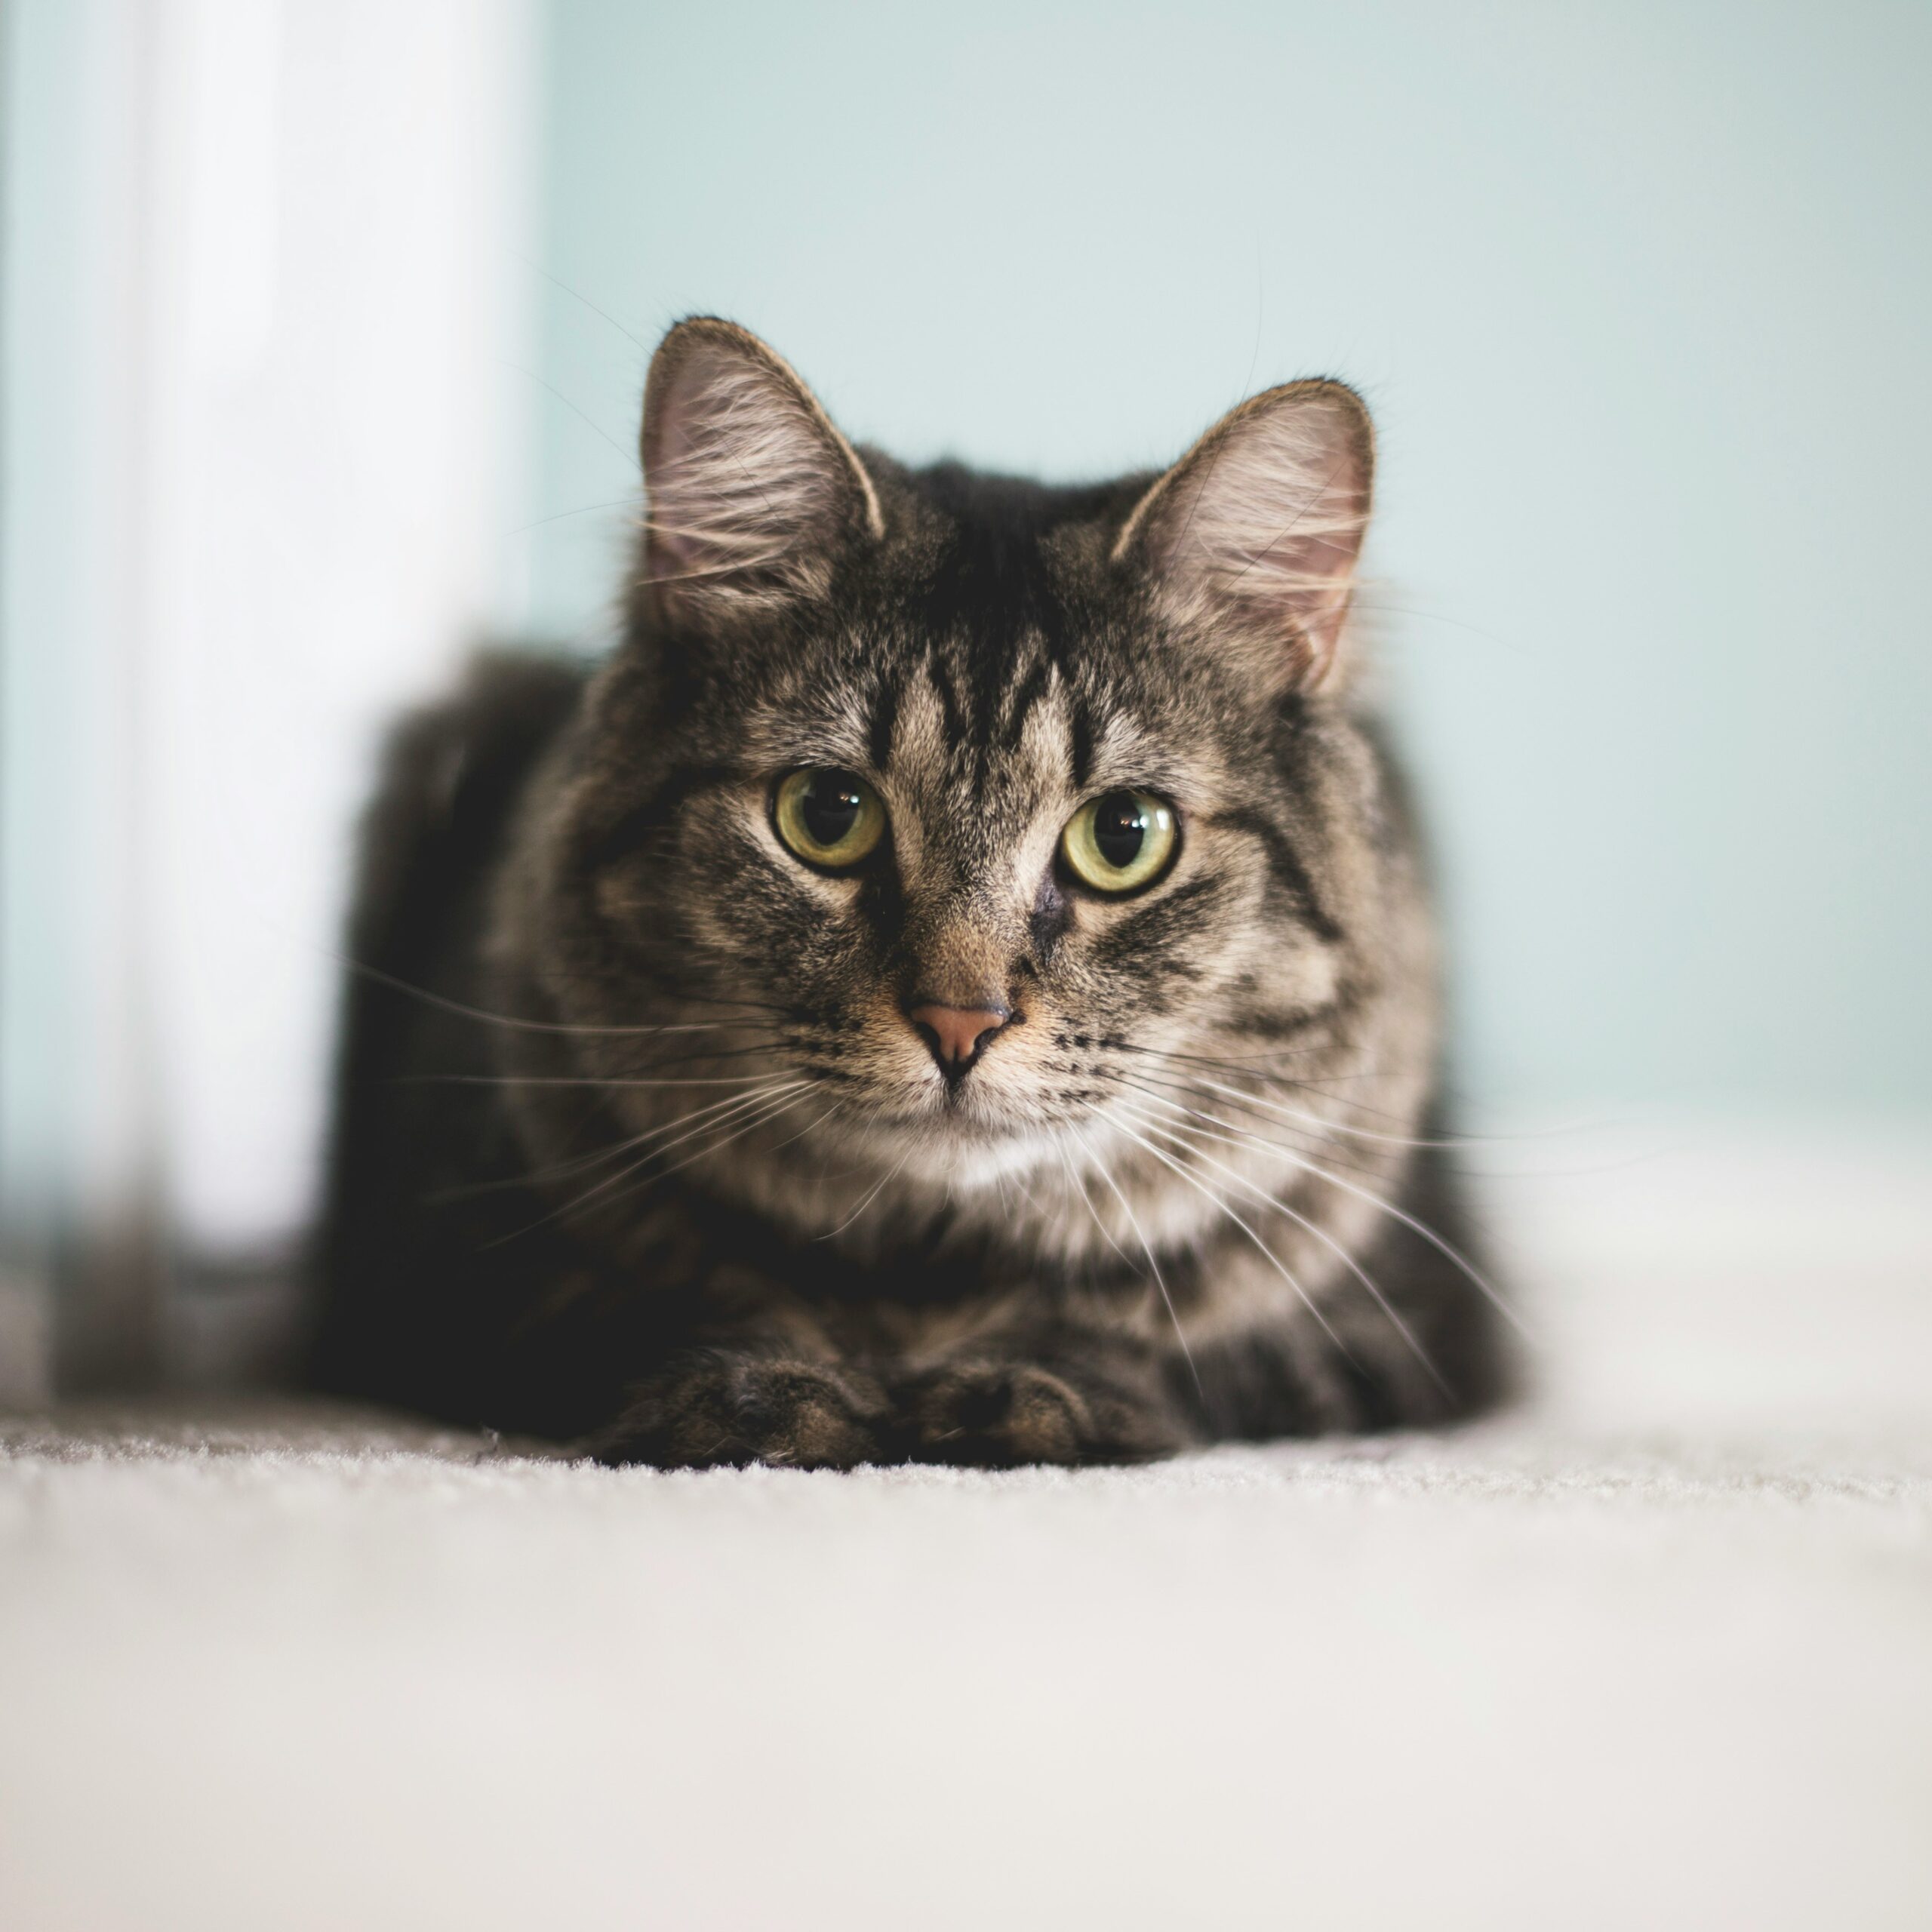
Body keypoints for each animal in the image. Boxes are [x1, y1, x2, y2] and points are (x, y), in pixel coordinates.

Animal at [309, 316, 1506, 1460]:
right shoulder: (440, 1263)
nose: (958, 1021)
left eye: (1124, 836)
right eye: (827, 814)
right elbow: (676, 1306)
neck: (925, 1287)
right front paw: (763, 1400)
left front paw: (1015, 1393)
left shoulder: (1397, 1319)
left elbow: (1144, 1343)